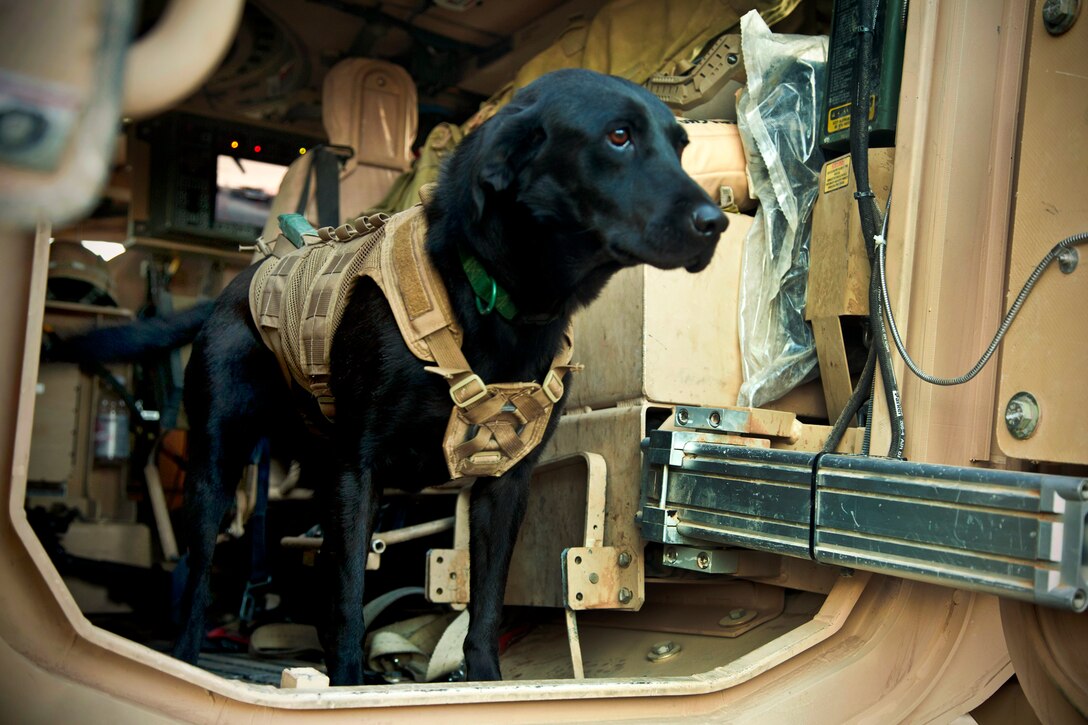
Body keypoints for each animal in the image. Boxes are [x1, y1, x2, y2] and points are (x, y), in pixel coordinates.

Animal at [167, 70, 722, 687]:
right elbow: (348, 599)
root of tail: (246, 275)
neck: (499, 300)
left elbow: (486, 604)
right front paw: (349, 686)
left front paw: (483, 680)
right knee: (199, 576)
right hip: (216, 465)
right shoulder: (356, 472)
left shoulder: (505, 483)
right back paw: (185, 658)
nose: (716, 223)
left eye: (680, 147)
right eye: (618, 136)